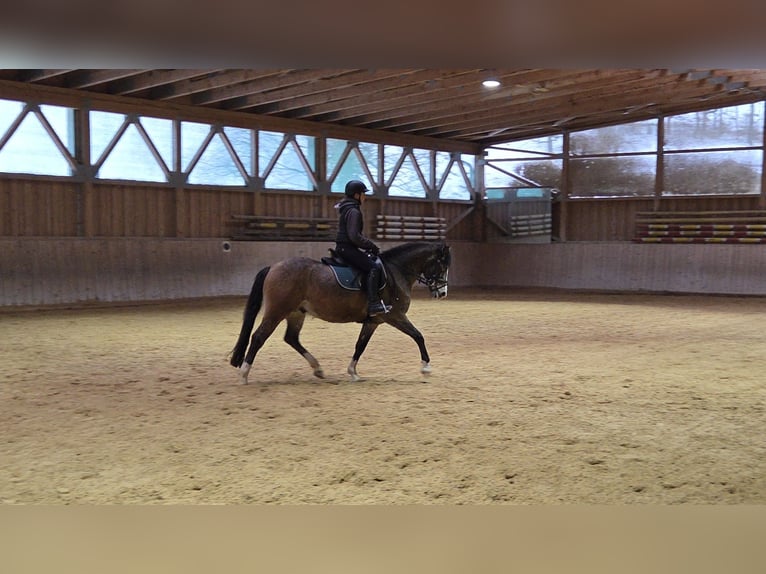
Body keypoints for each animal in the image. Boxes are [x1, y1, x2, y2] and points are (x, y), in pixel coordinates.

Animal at [229, 241, 451, 384]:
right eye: (442, 265)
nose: (442, 293)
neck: (396, 271)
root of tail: (273, 266)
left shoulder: (373, 321)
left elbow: (360, 345)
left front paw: (353, 372)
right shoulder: (394, 316)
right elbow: (418, 336)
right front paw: (425, 367)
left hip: (296, 313)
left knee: (291, 338)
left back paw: (318, 369)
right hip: (277, 311)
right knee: (259, 336)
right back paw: (244, 374)